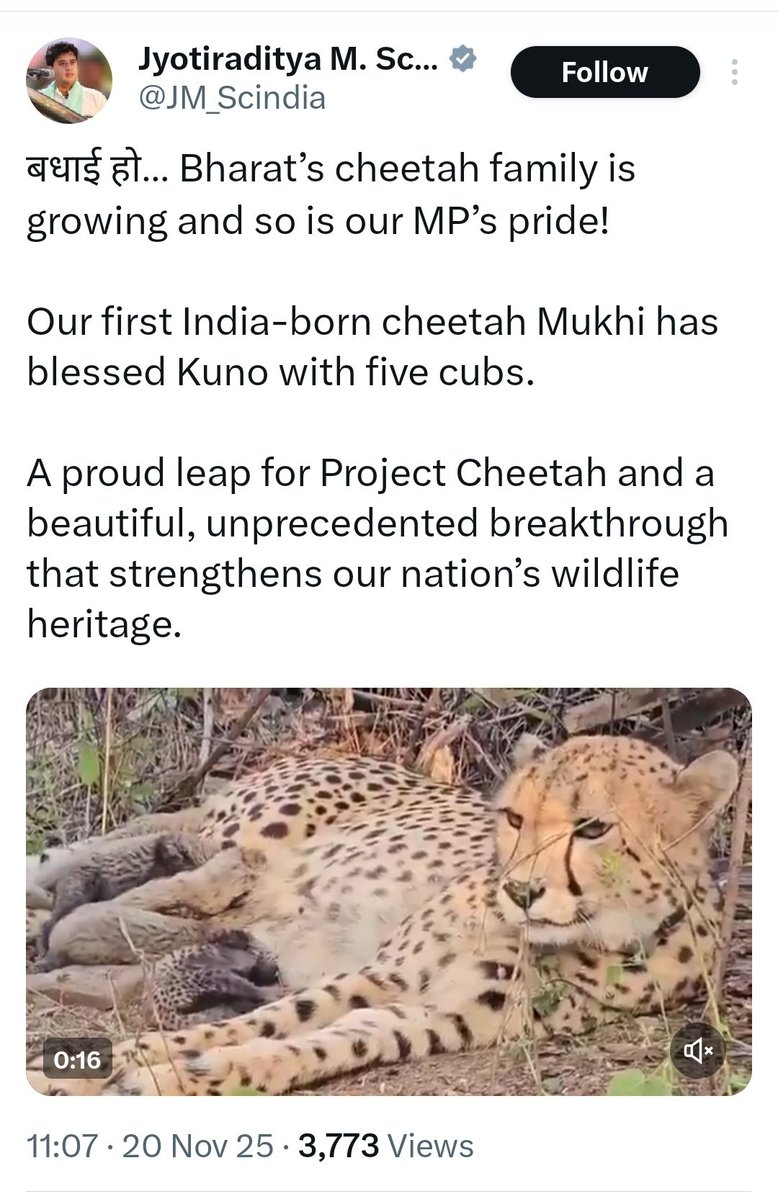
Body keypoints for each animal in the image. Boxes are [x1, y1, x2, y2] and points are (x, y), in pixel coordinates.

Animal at [27, 734, 738, 1096]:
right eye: (514, 817)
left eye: (593, 828)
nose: (520, 891)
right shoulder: (384, 973)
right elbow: (272, 1018)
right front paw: (122, 1058)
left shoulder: (437, 1017)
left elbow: (324, 1042)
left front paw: (200, 1074)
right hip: (248, 836)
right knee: (148, 861)